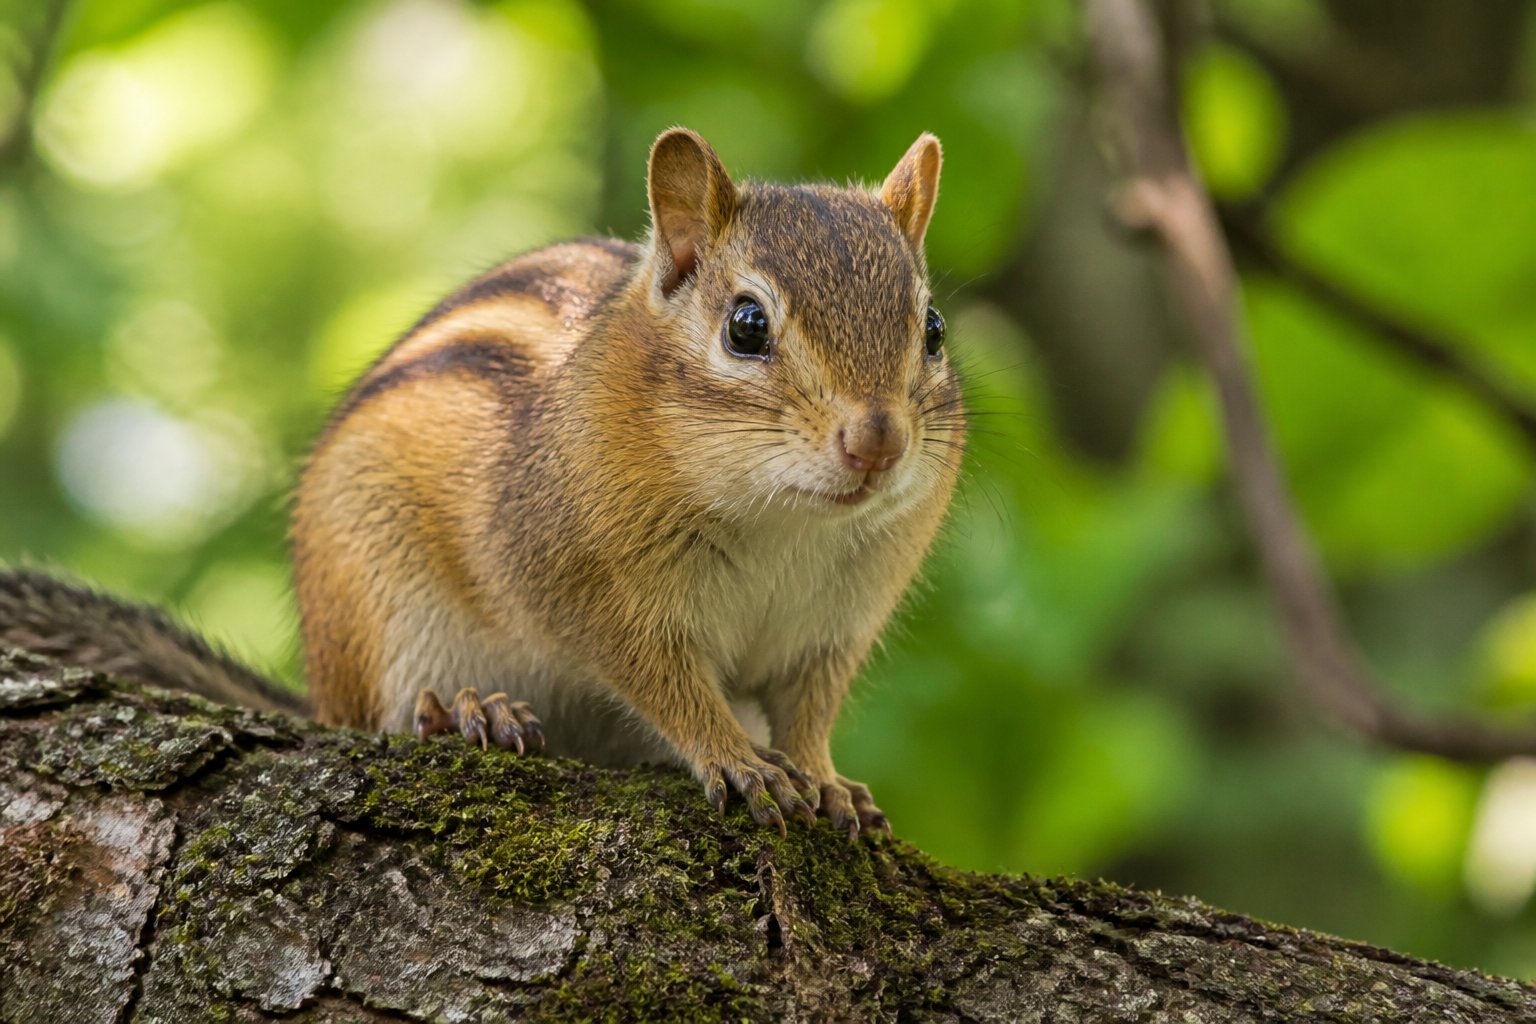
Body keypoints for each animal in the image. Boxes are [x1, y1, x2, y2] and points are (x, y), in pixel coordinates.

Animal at [0, 128, 964, 837]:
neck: (785, 520)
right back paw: (464, 711)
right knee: (382, 717)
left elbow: (808, 712)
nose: (876, 442)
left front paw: (825, 779)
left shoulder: (833, 628)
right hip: (378, 606)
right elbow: (664, 680)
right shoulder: (582, 580)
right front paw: (730, 752)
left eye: (934, 329)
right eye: (747, 325)